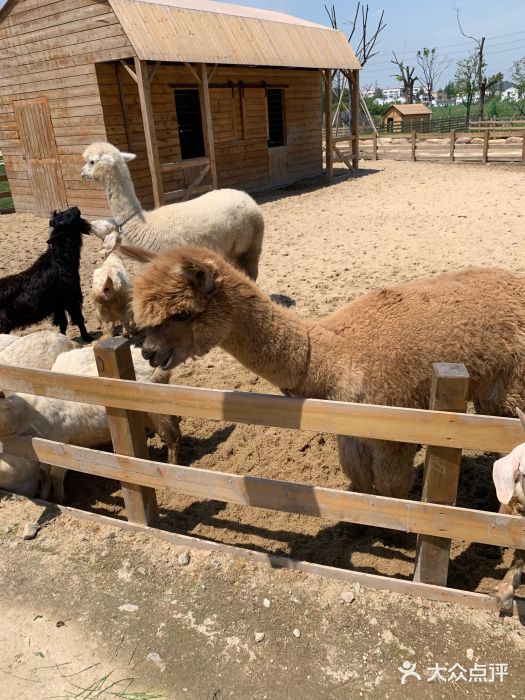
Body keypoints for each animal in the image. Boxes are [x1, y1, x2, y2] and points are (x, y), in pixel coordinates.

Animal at [0, 205, 92, 342]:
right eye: (61, 221)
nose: (75, 207)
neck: (61, 260)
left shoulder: (58, 305)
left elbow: (63, 324)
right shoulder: (71, 298)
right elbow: (79, 319)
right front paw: (87, 337)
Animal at [82, 141, 264, 280]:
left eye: (91, 162)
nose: (82, 172)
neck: (141, 223)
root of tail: (247, 198)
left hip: (251, 247)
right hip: (234, 249)